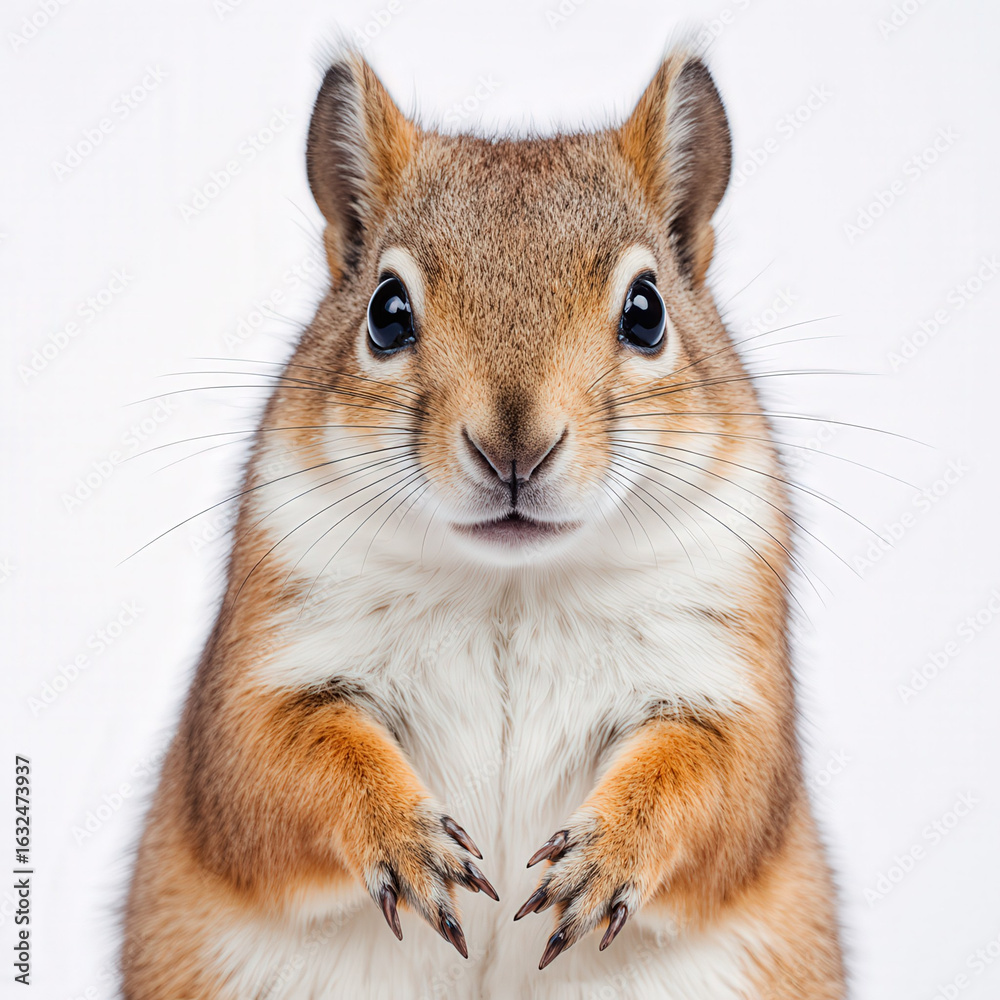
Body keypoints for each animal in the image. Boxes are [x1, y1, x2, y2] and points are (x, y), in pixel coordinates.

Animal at [122, 45, 846, 1000]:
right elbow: (275, 767)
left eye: (647, 310)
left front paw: (604, 859)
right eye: (386, 312)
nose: (514, 447)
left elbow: (721, 786)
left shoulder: (724, 675)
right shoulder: (259, 675)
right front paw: (405, 840)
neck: (513, 586)